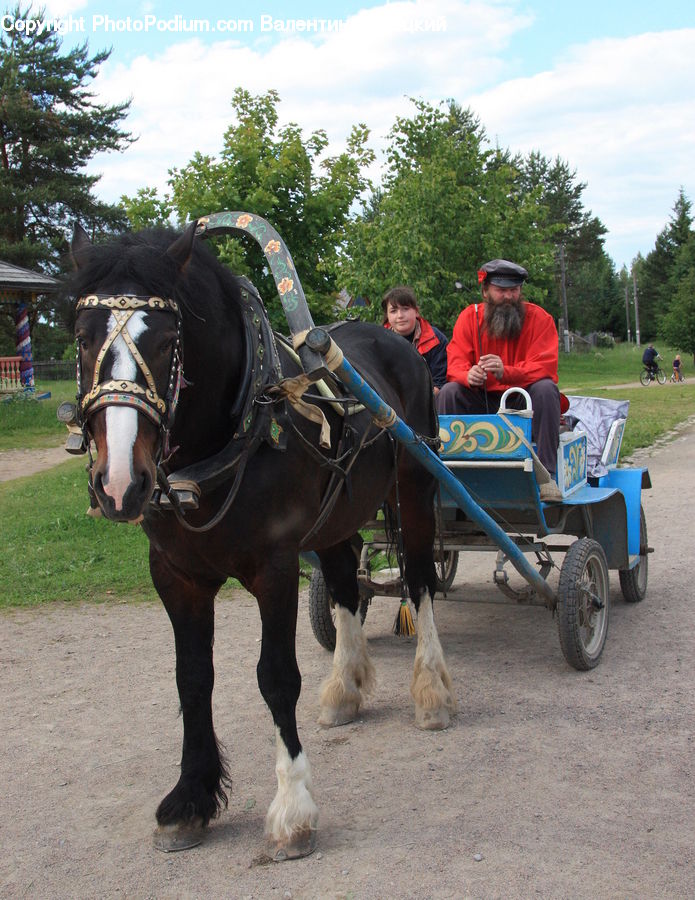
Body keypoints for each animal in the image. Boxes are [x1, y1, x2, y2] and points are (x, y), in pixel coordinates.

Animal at [68, 220, 456, 859]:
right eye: (81, 338)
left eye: (167, 340)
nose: (120, 483)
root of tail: (392, 339)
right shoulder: (174, 574)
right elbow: (192, 678)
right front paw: (190, 800)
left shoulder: (273, 567)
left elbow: (276, 677)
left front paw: (293, 810)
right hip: (336, 516)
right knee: (346, 582)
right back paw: (344, 689)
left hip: (416, 485)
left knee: (421, 580)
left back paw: (432, 692)